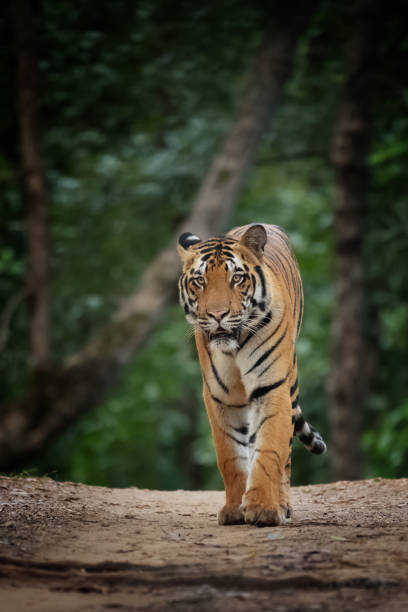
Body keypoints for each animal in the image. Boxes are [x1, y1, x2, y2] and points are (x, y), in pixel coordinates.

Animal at [177, 224, 326, 524]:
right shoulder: (220, 397)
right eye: (199, 281)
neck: (233, 349)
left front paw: (263, 508)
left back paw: (282, 504)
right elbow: (231, 457)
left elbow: (268, 450)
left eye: (236, 278)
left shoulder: (272, 388)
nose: (217, 314)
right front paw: (235, 509)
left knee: (285, 454)